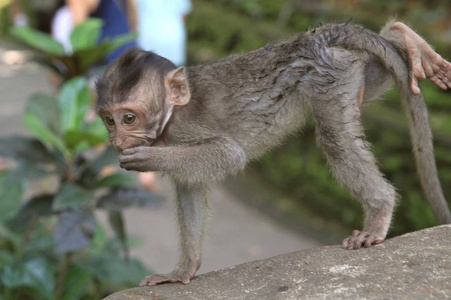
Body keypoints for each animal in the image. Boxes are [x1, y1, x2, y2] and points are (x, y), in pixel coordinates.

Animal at [96, 21, 451, 286]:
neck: (171, 112)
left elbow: (229, 155)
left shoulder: (184, 129)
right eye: (109, 120)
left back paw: (379, 214)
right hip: (349, 71)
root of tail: (315, 36)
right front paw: (184, 270)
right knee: (376, 78)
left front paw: (146, 159)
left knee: (335, 138)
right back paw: (402, 39)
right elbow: (190, 188)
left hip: (328, 75)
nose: (117, 139)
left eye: (129, 118)